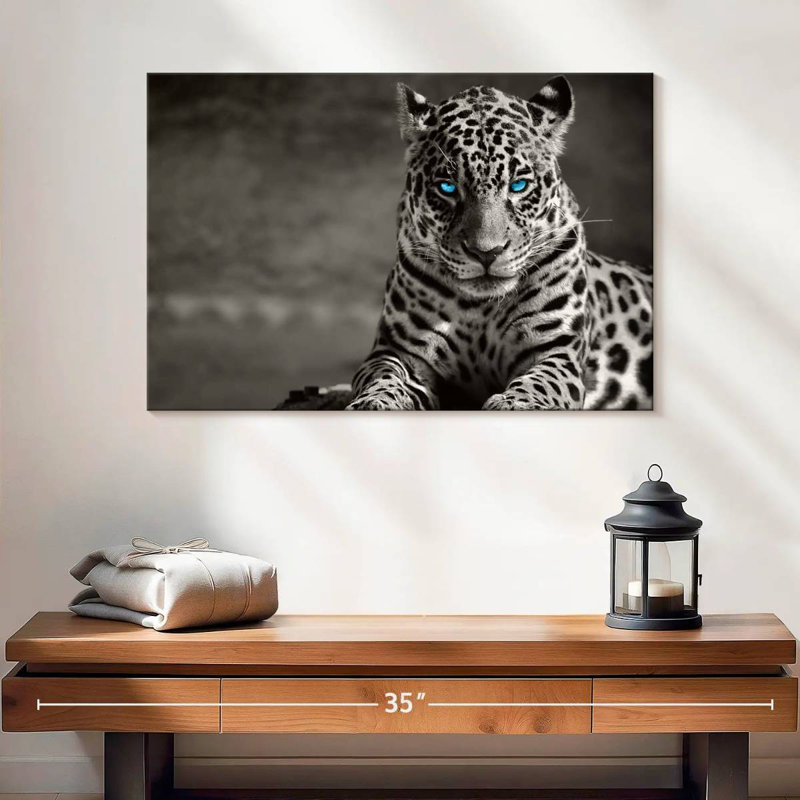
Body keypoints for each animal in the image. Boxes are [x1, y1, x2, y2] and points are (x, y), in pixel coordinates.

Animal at [346, 76, 653, 411]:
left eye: (518, 185)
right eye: (447, 187)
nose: (486, 252)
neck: (480, 308)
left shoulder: (556, 351)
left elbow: (539, 383)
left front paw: (515, 404)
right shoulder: (398, 350)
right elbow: (384, 377)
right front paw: (374, 402)